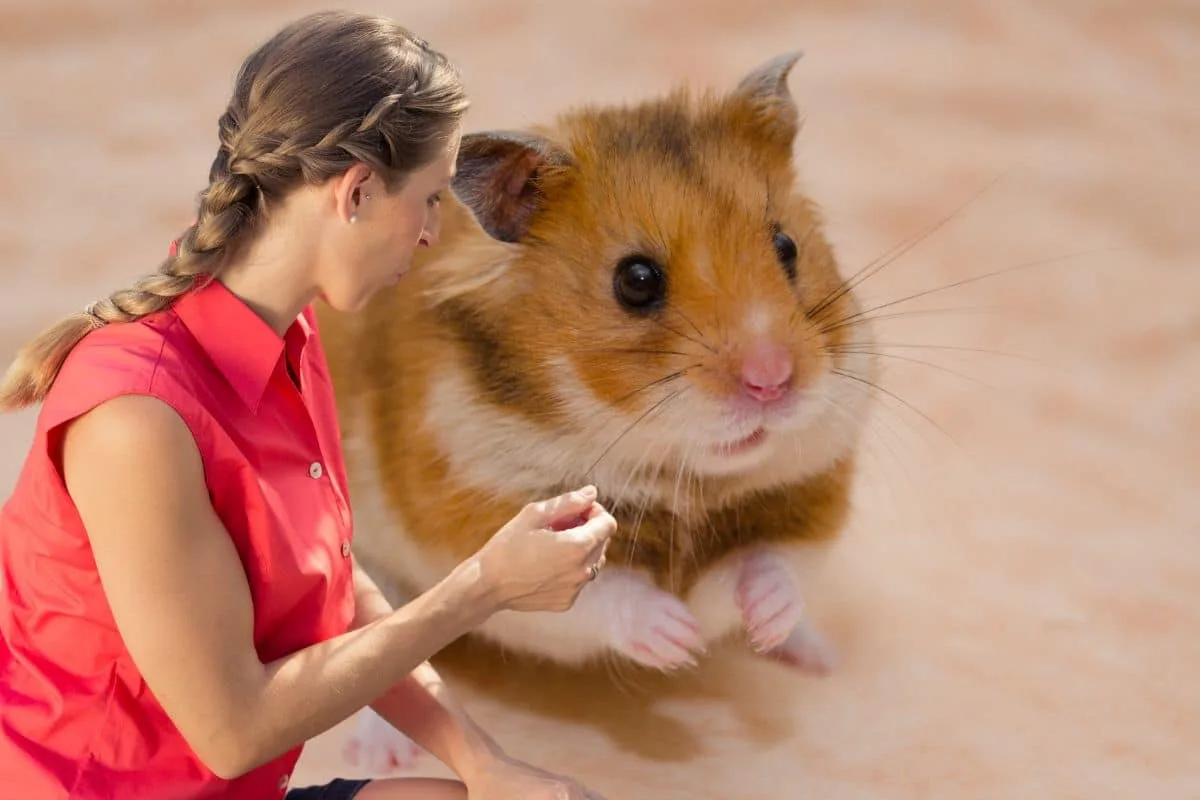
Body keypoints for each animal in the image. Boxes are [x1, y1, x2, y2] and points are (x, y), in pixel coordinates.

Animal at [317, 51, 877, 684]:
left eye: (787, 248)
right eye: (636, 281)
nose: (773, 381)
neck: (684, 482)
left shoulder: (811, 493)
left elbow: (772, 563)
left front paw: (761, 625)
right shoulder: (476, 517)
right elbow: (606, 596)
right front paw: (680, 642)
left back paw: (815, 656)